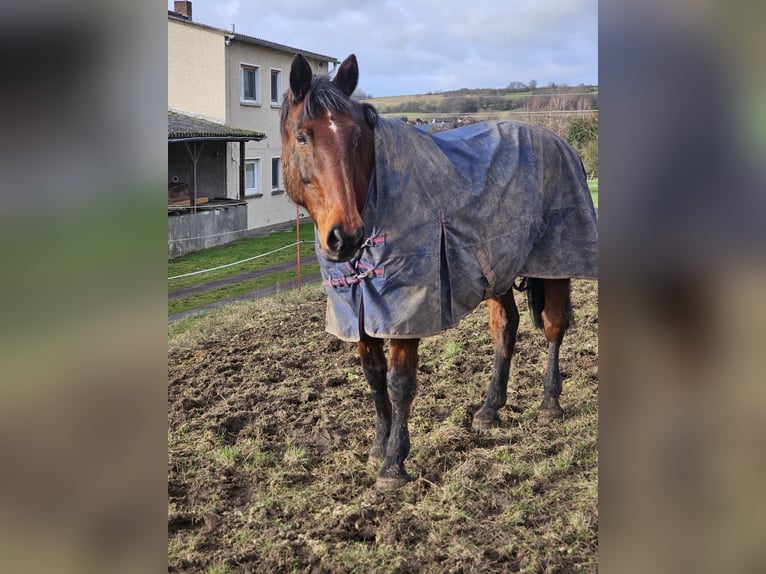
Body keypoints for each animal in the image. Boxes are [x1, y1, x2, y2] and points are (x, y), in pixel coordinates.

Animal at [280, 53, 598, 489]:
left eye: (356, 136)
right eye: (303, 137)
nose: (346, 236)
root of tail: (560, 142)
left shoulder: (406, 311)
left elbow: (399, 383)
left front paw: (394, 463)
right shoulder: (359, 309)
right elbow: (373, 377)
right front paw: (378, 446)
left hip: (555, 263)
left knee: (553, 326)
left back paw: (550, 403)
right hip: (497, 267)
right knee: (506, 329)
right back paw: (489, 410)